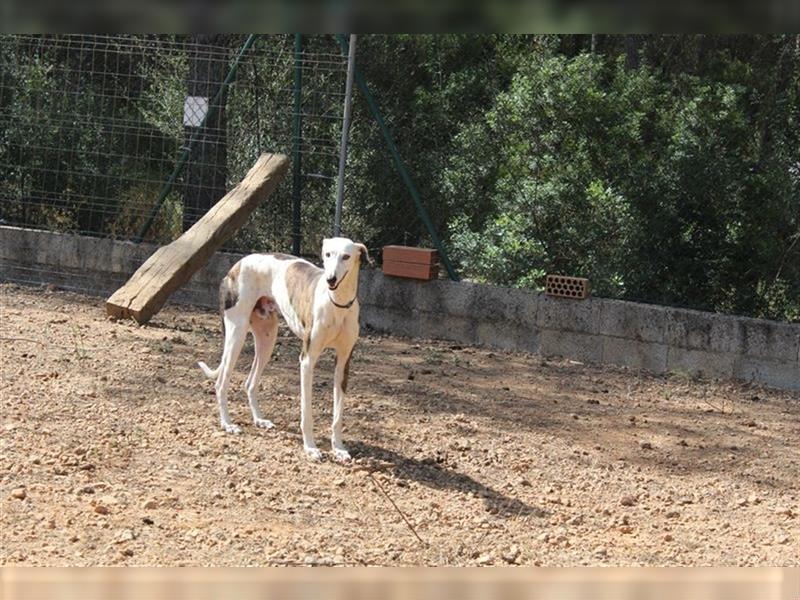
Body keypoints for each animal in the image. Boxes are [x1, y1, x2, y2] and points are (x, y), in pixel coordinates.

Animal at [195, 237, 370, 462]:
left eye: (346, 256)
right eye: (328, 254)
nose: (330, 279)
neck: (336, 303)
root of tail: (237, 265)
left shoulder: (343, 363)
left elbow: (338, 415)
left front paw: (338, 448)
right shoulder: (307, 360)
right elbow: (306, 412)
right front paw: (311, 448)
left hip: (267, 339)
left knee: (249, 383)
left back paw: (260, 420)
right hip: (236, 334)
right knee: (220, 383)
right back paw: (228, 424)